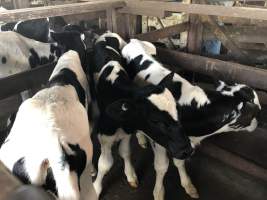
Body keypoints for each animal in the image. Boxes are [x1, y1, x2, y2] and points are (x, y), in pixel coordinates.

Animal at [91, 32, 194, 198]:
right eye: (154, 120)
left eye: (176, 111)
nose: (187, 150)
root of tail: (107, 33)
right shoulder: (105, 134)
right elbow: (105, 164)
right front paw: (96, 188)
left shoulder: (127, 132)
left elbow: (125, 152)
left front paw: (130, 175)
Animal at [122, 38, 262, 199]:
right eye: (254, 113)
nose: (257, 122)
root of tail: (133, 41)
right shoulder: (160, 140)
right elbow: (162, 166)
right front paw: (158, 192)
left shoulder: (183, 142)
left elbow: (180, 163)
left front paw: (187, 184)